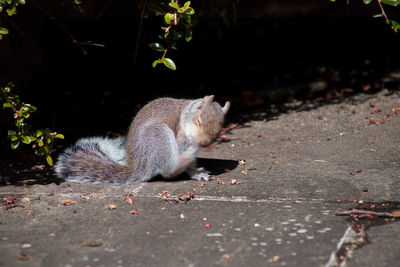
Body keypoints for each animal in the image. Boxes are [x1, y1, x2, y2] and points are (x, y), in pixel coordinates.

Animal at [56, 95, 231, 185]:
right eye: (198, 121)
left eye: (220, 130)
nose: (203, 144)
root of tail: (139, 166)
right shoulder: (180, 137)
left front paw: (196, 172)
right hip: (158, 136)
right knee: (168, 171)